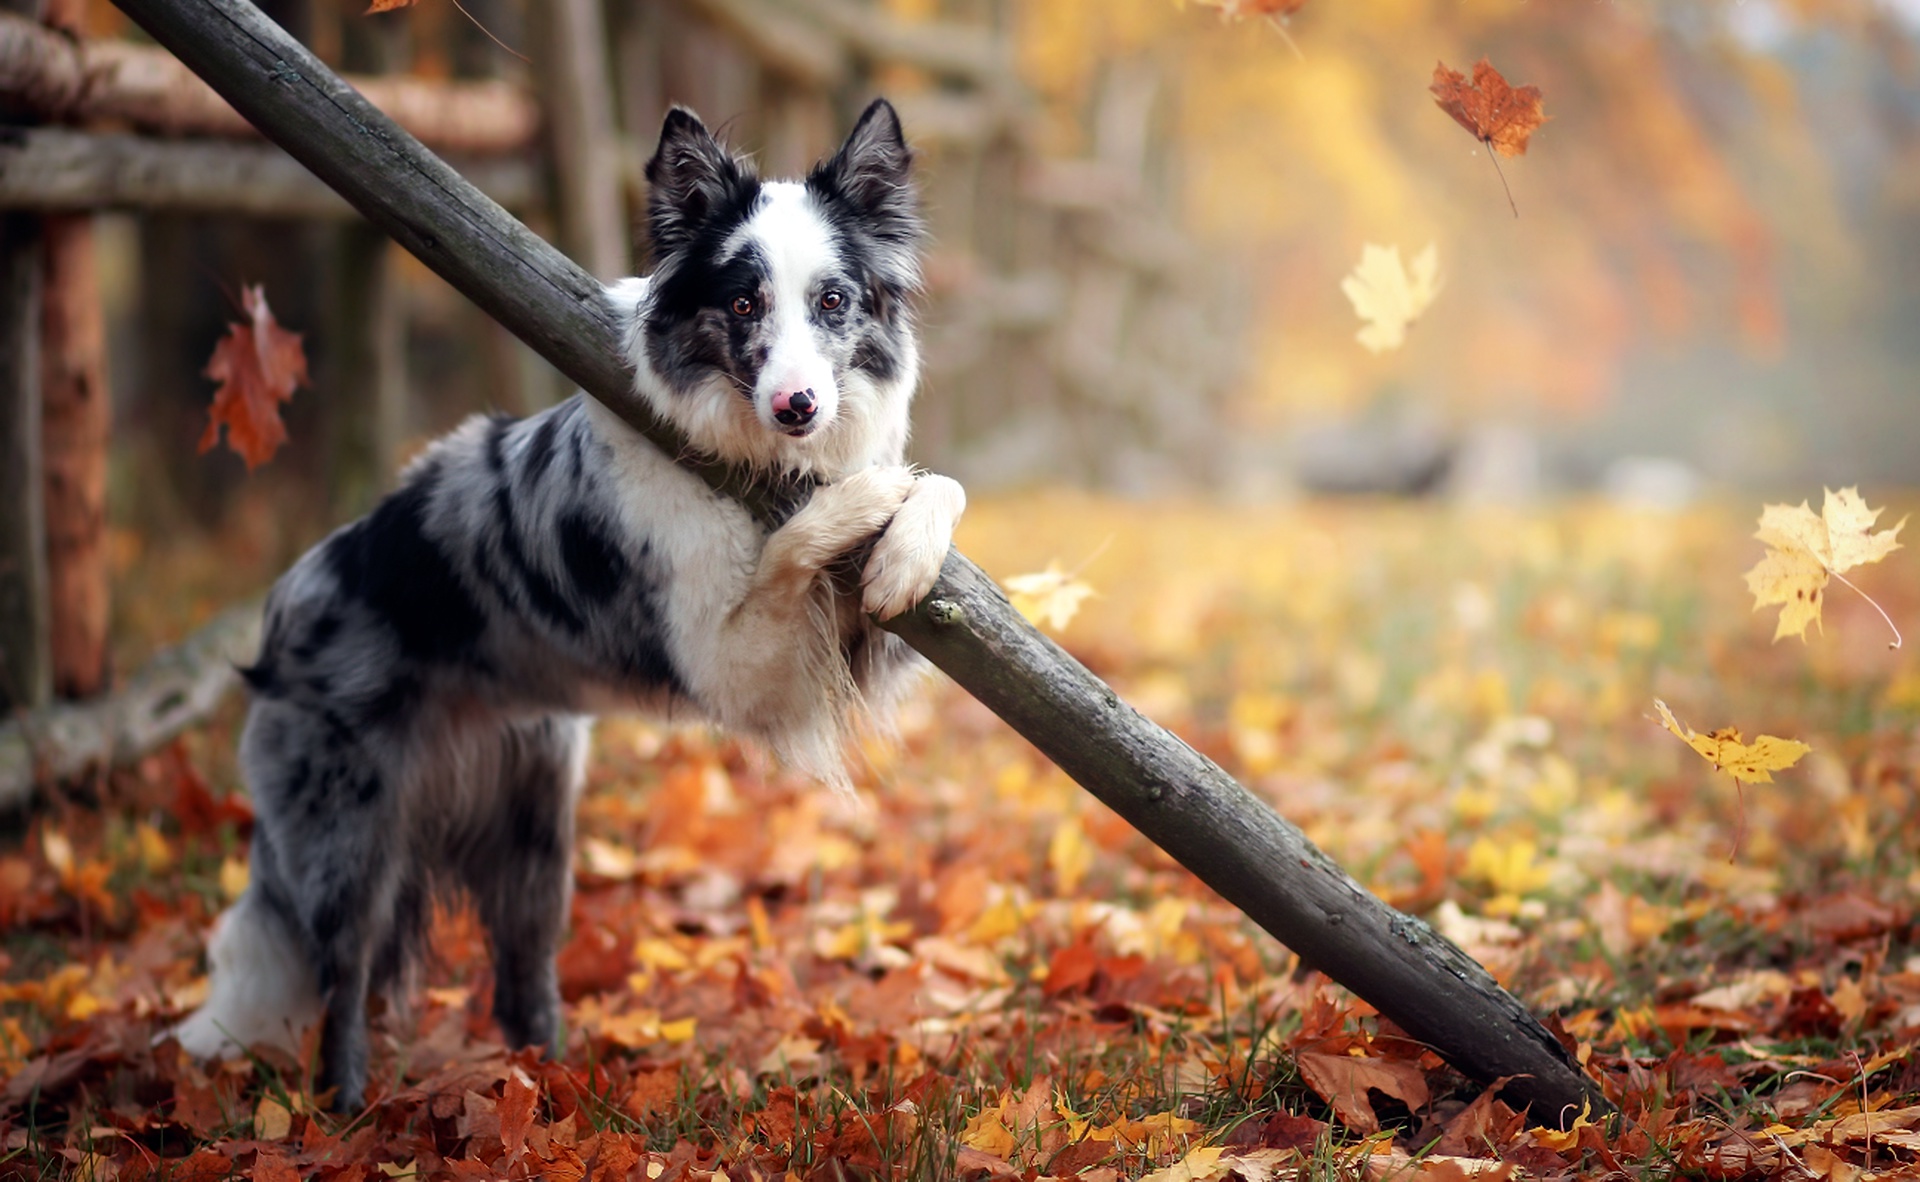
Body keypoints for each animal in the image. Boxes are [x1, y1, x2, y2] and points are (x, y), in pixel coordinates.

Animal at [172, 99, 967, 1105]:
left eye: (834, 302)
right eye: (743, 305)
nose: (797, 407)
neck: (759, 460)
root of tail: (280, 615)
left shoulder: (862, 643)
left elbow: (939, 497)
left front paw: (906, 541)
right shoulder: (734, 664)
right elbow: (800, 541)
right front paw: (864, 497)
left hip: (536, 829)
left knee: (520, 982)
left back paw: (548, 1089)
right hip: (346, 837)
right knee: (342, 986)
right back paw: (347, 1108)